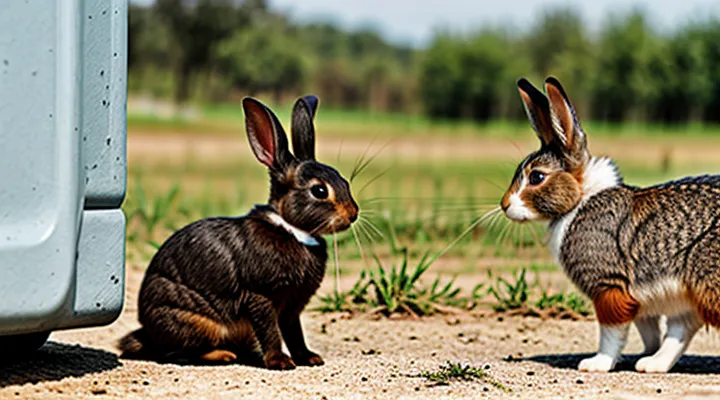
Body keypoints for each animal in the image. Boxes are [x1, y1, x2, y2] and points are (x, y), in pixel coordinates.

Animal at [118, 95, 359, 369]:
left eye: (345, 181)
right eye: (319, 190)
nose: (353, 214)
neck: (290, 228)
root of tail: (147, 333)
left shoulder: (291, 308)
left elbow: (294, 333)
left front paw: (309, 358)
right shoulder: (260, 295)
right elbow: (270, 331)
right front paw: (280, 362)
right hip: (195, 322)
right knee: (177, 353)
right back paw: (223, 355)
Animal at [500, 76, 720, 373]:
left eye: (536, 177)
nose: (504, 205)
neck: (580, 198)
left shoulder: (609, 288)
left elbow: (611, 333)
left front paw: (596, 364)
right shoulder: (643, 299)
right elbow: (649, 330)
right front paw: (638, 357)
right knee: (680, 331)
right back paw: (651, 364)